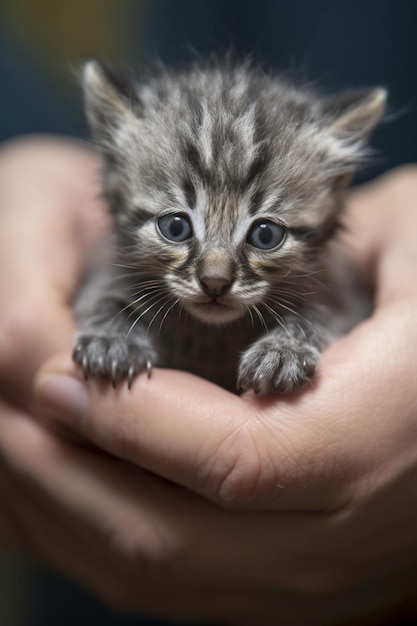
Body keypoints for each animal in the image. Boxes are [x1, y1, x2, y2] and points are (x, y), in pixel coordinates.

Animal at [73, 57, 386, 390]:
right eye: (175, 227)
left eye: (265, 235)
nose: (215, 282)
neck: (210, 335)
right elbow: (101, 297)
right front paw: (111, 339)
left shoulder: (345, 296)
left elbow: (322, 315)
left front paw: (282, 350)